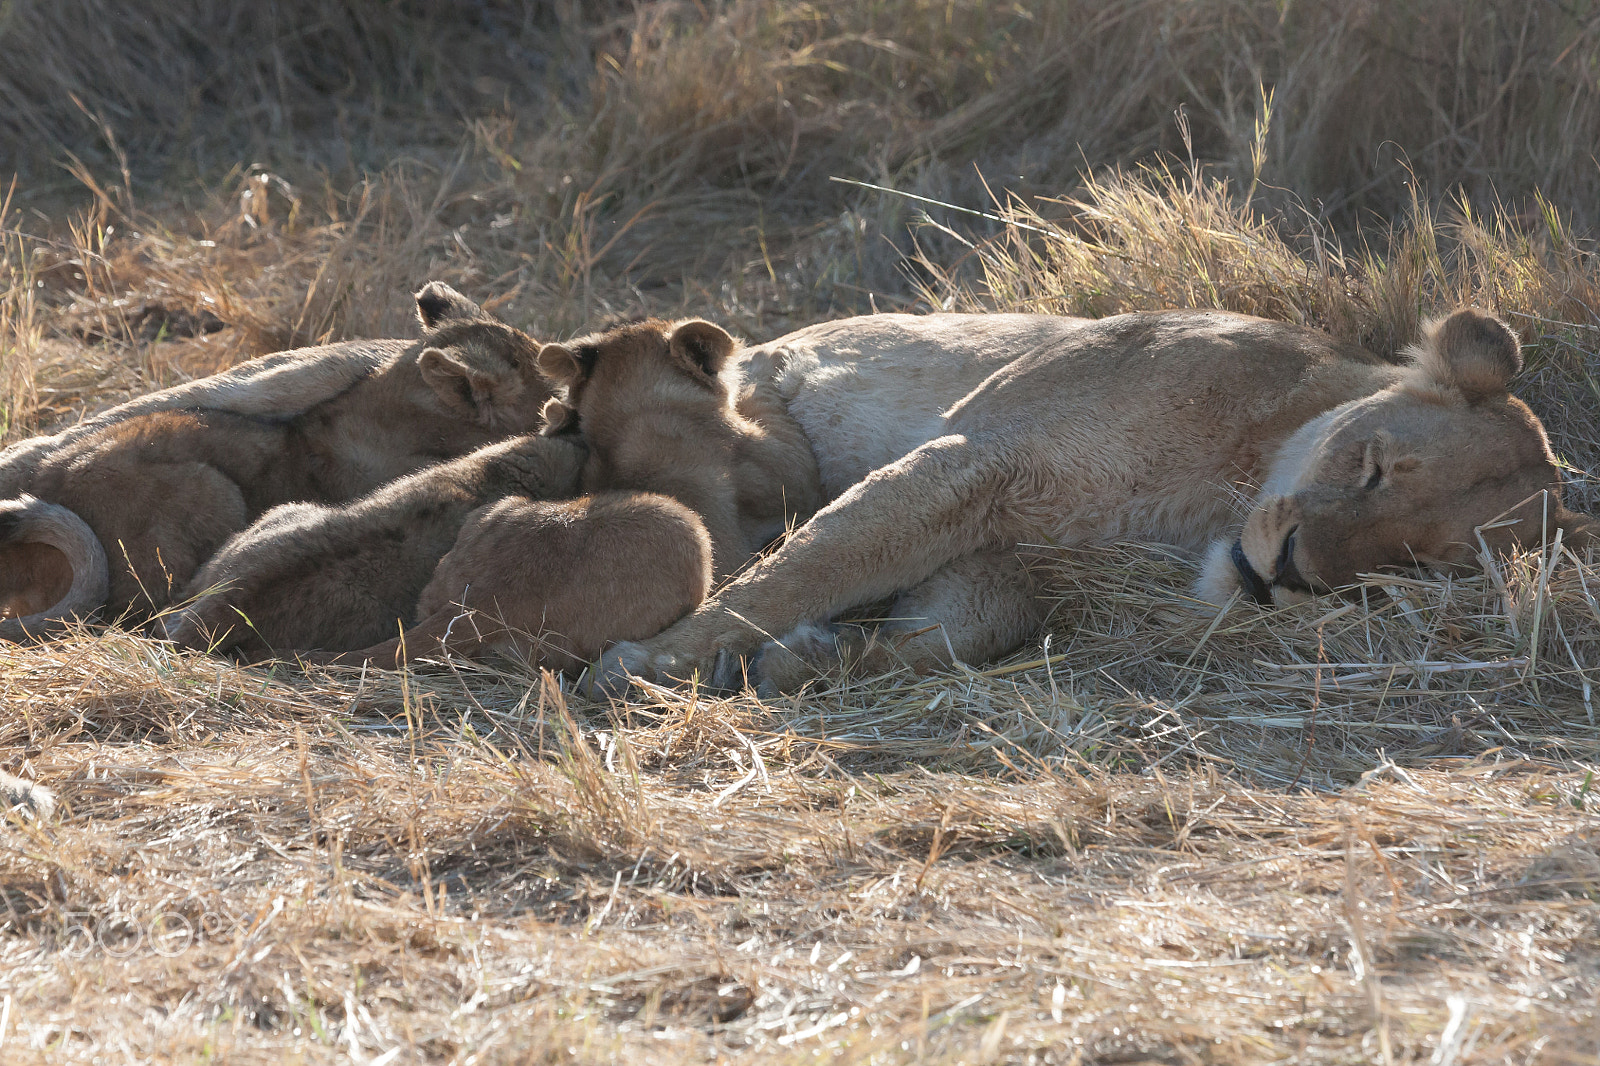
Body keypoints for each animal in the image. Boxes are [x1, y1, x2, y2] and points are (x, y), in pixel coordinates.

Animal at [586, 307, 1594, 693]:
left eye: (1413, 565)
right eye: (1374, 468)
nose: (1289, 573)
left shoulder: (1011, 555)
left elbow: (960, 629)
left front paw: (811, 659)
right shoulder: (979, 455)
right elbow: (808, 569)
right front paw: (646, 663)